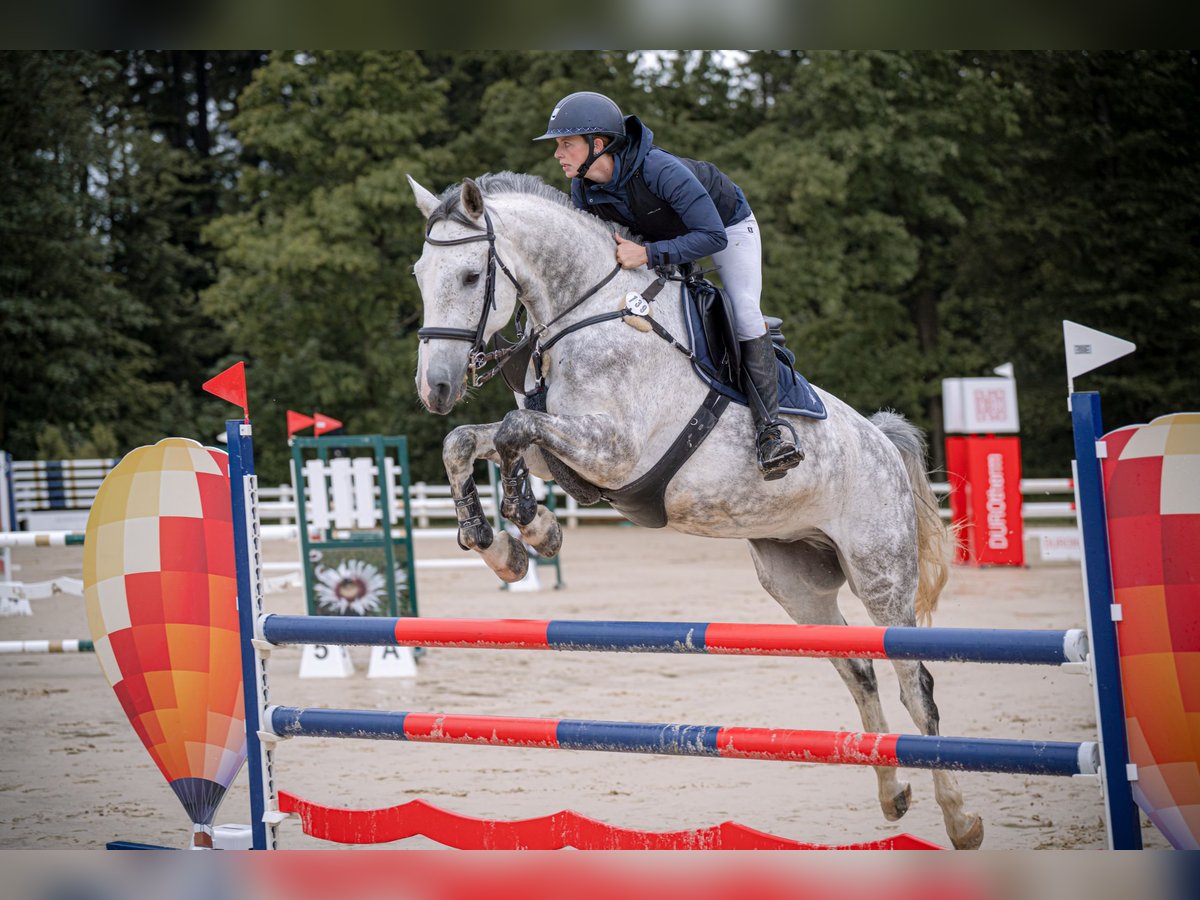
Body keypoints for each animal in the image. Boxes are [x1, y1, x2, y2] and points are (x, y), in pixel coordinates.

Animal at [408, 170, 979, 854]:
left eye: (471, 276)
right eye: (420, 273)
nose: (435, 388)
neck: (589, 314)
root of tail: (883, 445)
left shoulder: (615, 450)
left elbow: (516, 429)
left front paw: (531, 528)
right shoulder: (563, 448)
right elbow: (475, 439)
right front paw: (505, 544)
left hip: (881, 573)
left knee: (915, 684)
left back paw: (960, 818)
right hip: (797, 583)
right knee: (858, 668)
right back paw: (892, 792)